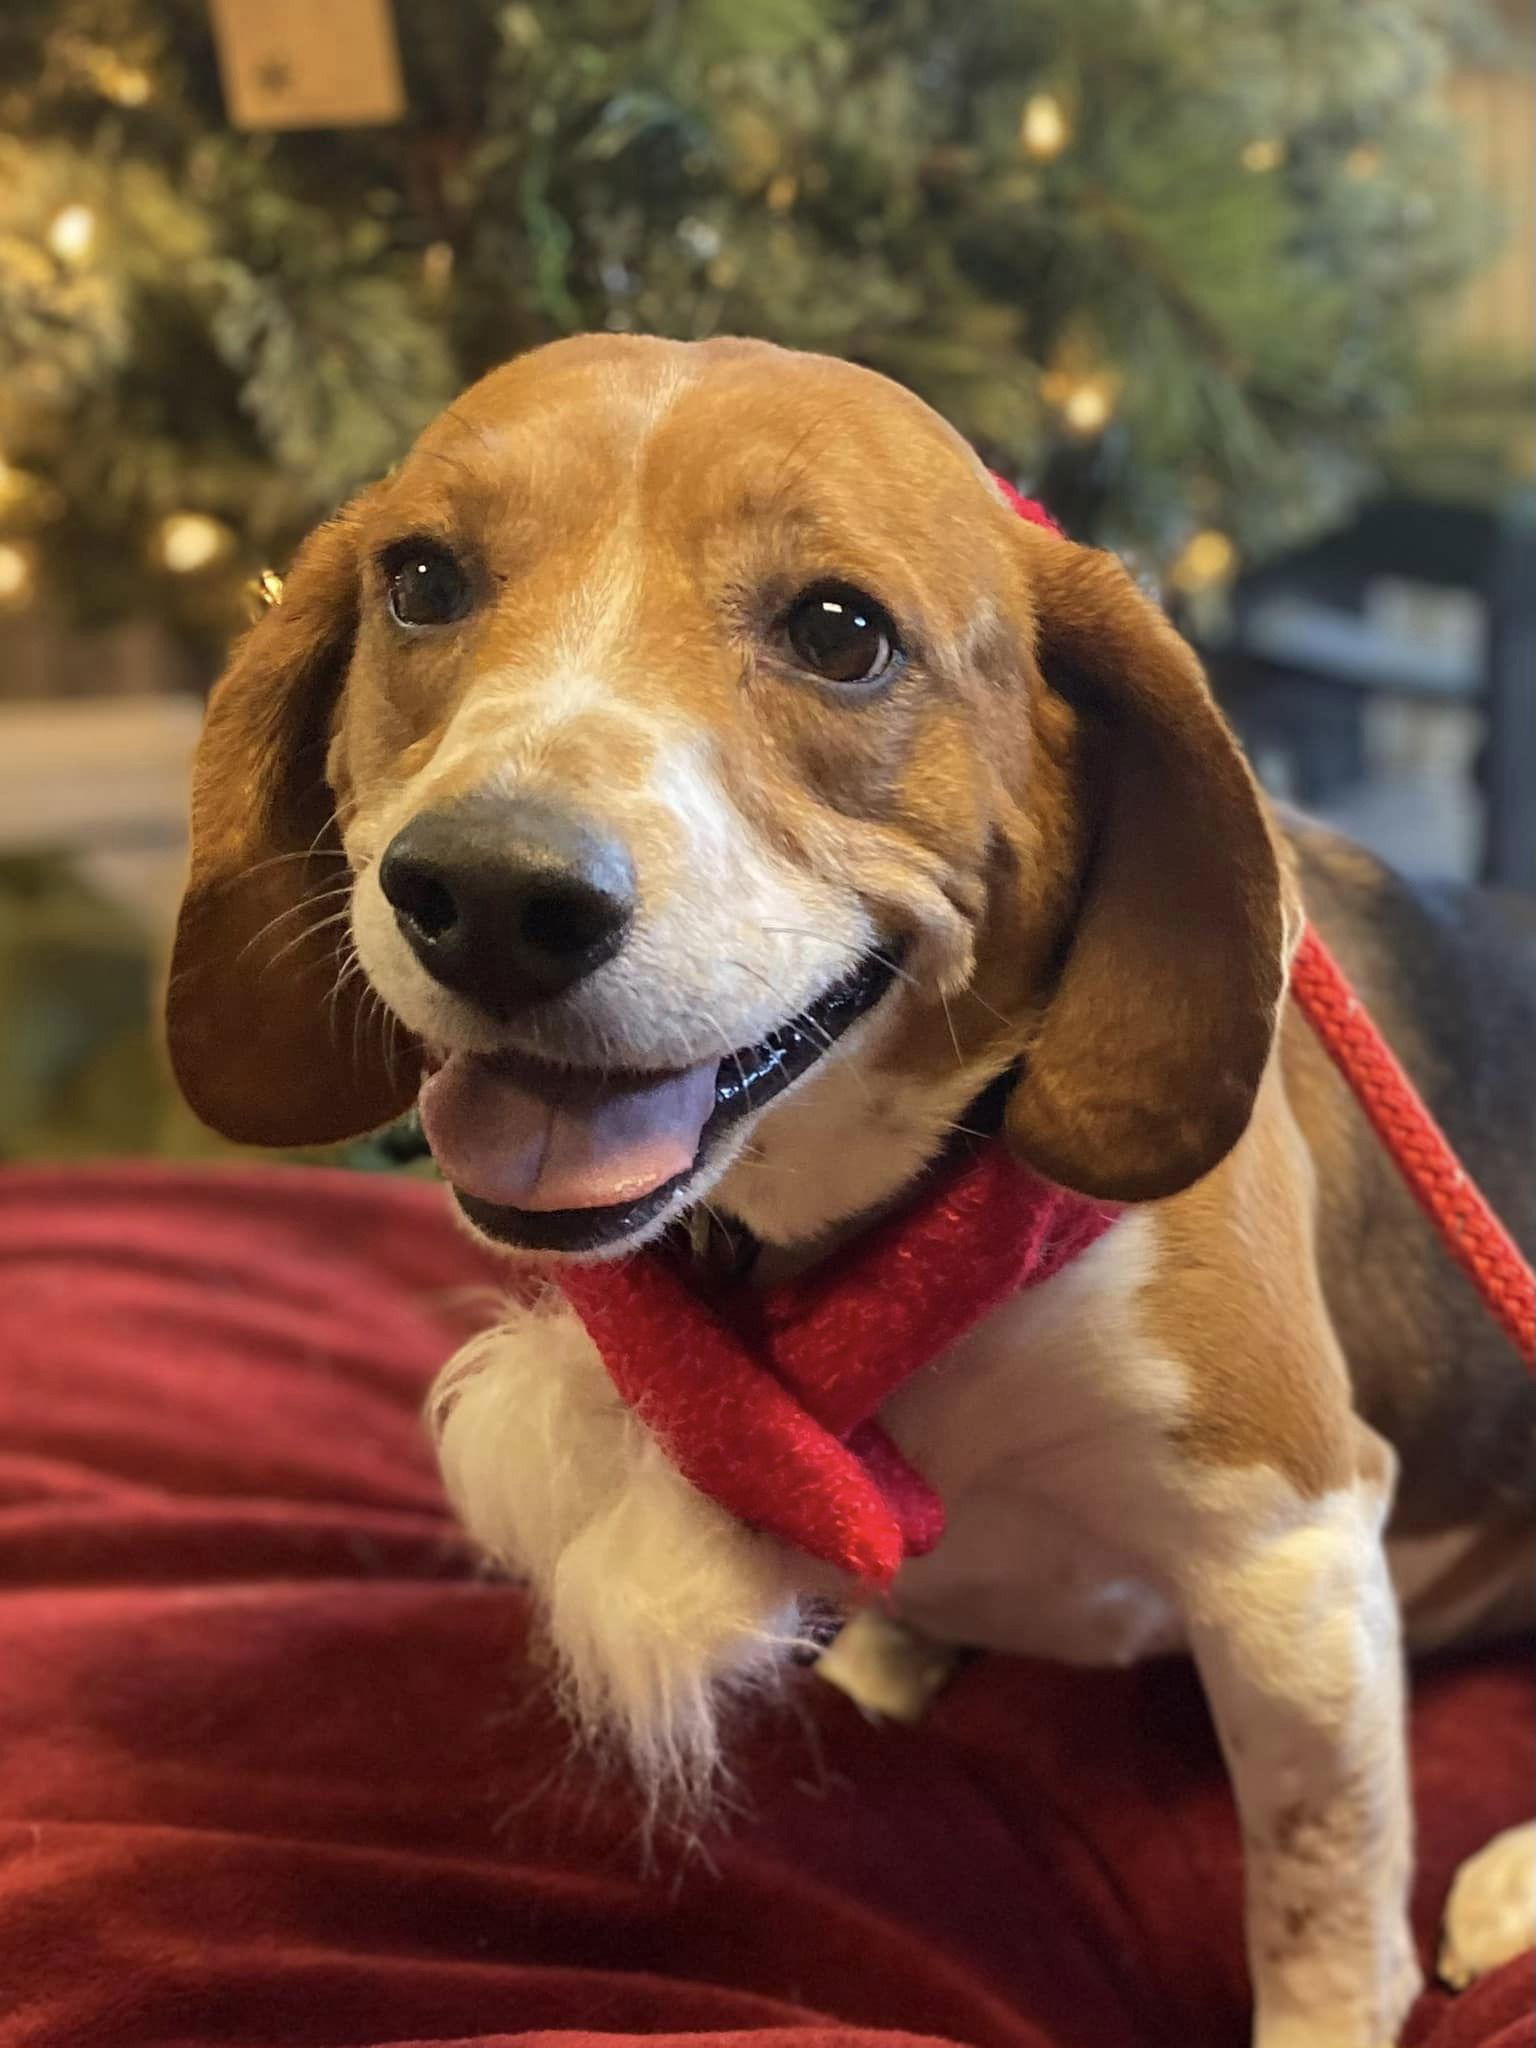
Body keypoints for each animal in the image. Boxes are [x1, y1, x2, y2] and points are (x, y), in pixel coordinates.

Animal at [167, 335, 1536, 2048]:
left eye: (839, 631)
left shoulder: (1290, 1556)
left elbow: (1320, 1900)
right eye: (421, 580)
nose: (486, 893)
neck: (876, 1230)